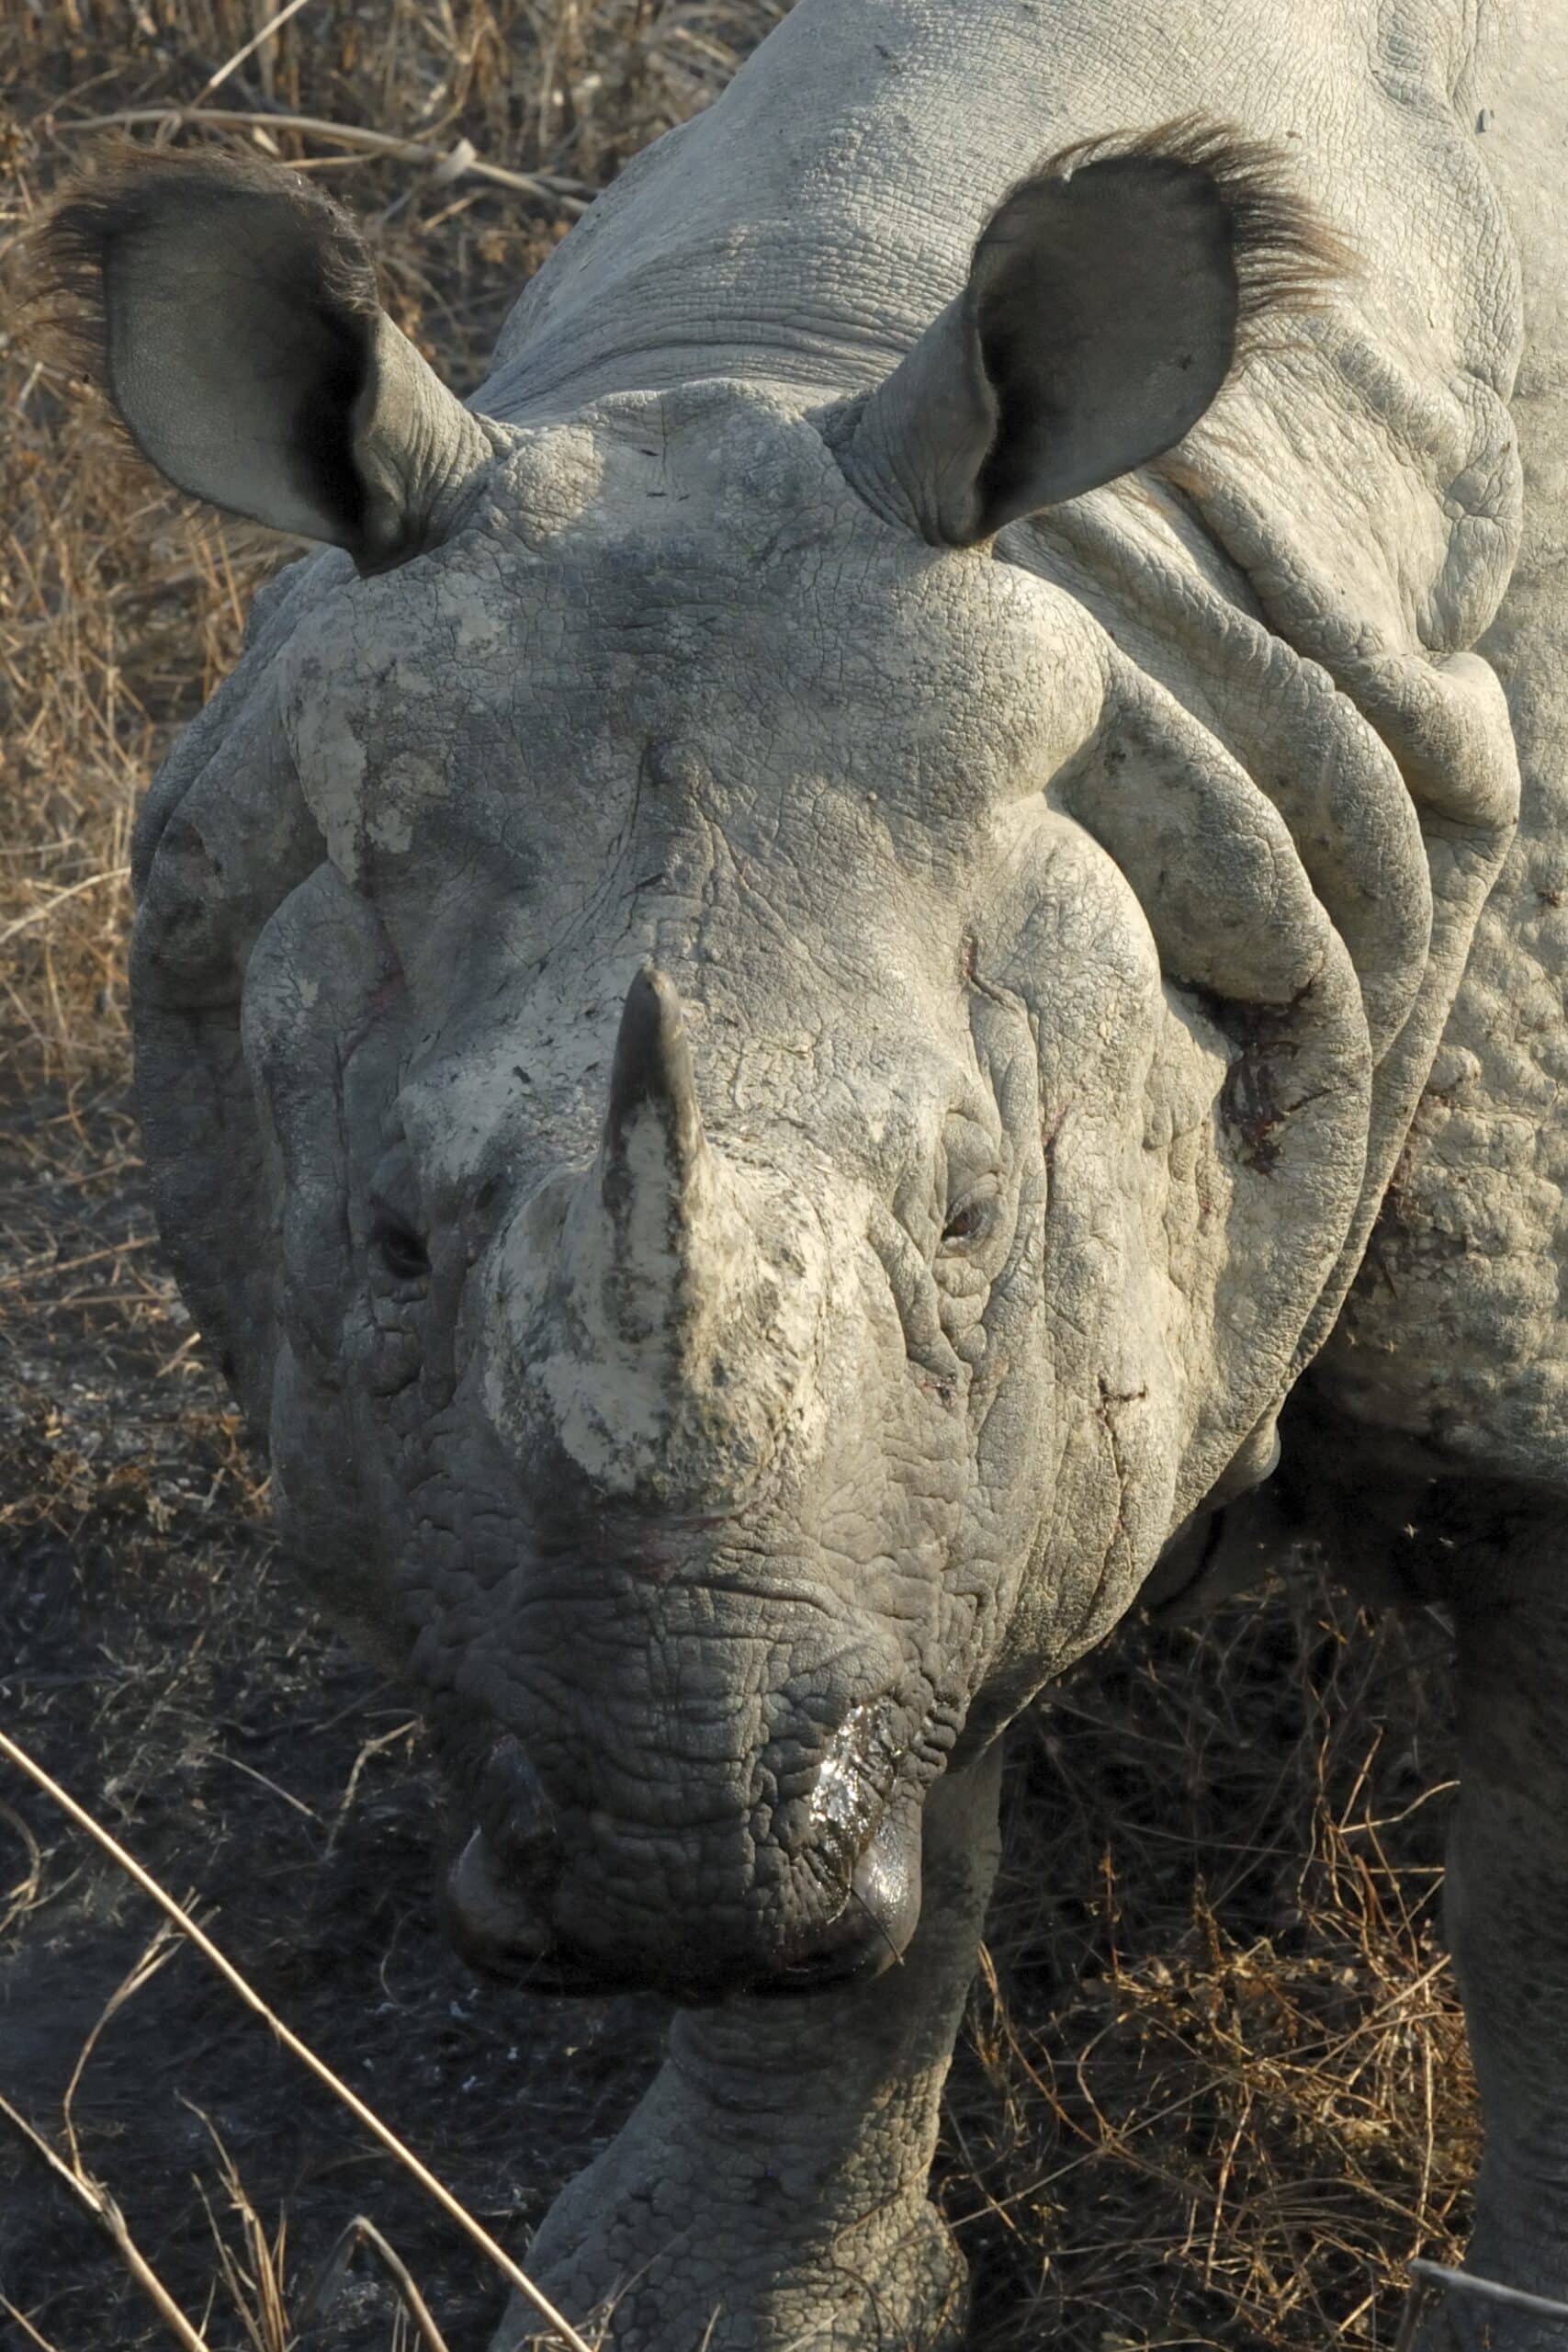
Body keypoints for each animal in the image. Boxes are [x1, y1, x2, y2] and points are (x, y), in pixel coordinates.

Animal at [36, 0, 1568, 2343]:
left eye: (970, 1210)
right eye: (387, 1241)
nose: (673, 1867)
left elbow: (1538, 1893)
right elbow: (896, 1796)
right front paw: (709, 2284)